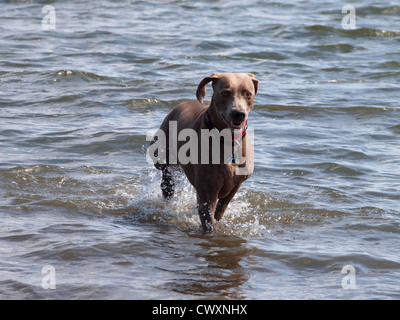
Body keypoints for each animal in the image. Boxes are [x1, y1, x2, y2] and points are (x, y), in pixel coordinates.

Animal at [150, 73, 260, 232]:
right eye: (225, 93)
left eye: (248, 94)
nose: (239, 114)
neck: (228, 141)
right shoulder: (207, 191)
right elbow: (208, 219)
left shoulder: (236, 183)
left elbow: (220, 210)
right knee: (165, 171)